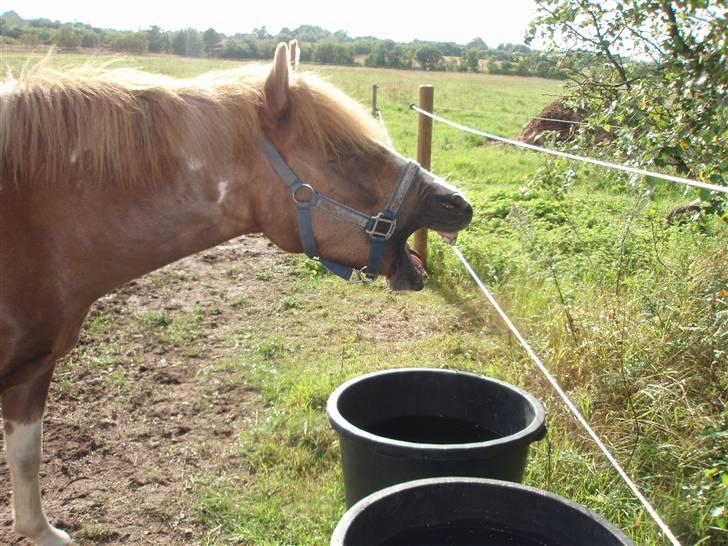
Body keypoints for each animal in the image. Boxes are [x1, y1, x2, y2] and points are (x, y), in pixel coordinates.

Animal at [0, 40, 474, 540]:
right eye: (344, 152)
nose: (458, 204)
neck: (33, 226)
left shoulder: (33, 371)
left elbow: (27, 456)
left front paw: (41, 531)